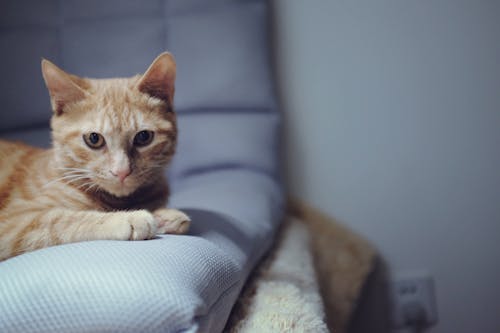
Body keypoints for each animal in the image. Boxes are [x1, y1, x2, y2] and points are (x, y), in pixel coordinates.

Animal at [0, 52, 190, 260]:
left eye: (143, 137)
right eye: (94, 139)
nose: (122, 171)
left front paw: (163, 216)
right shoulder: (13, 223)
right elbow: (59, 220)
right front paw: (127, 218)